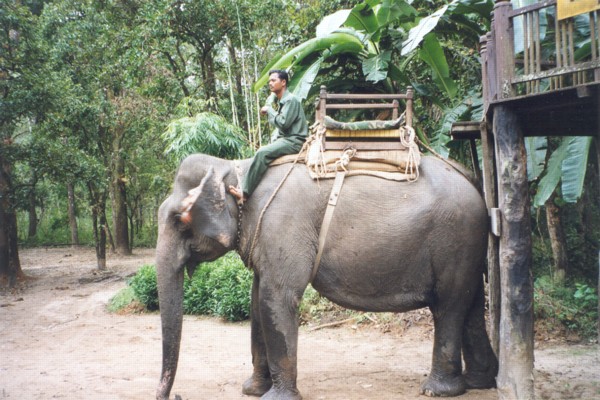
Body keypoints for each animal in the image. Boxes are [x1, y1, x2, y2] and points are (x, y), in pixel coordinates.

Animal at [154, 153, 496, 400]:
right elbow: (257, 300)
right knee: (470, 304)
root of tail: (471, 178)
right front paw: (252, 390)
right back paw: (479, 381)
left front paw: (275, 398)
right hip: (469, 244)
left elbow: (276, 297)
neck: (236, 167)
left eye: (180, 219)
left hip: (455, 237)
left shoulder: (283, 225)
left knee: (448, 306)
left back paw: (438, 391)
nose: (175, 395)